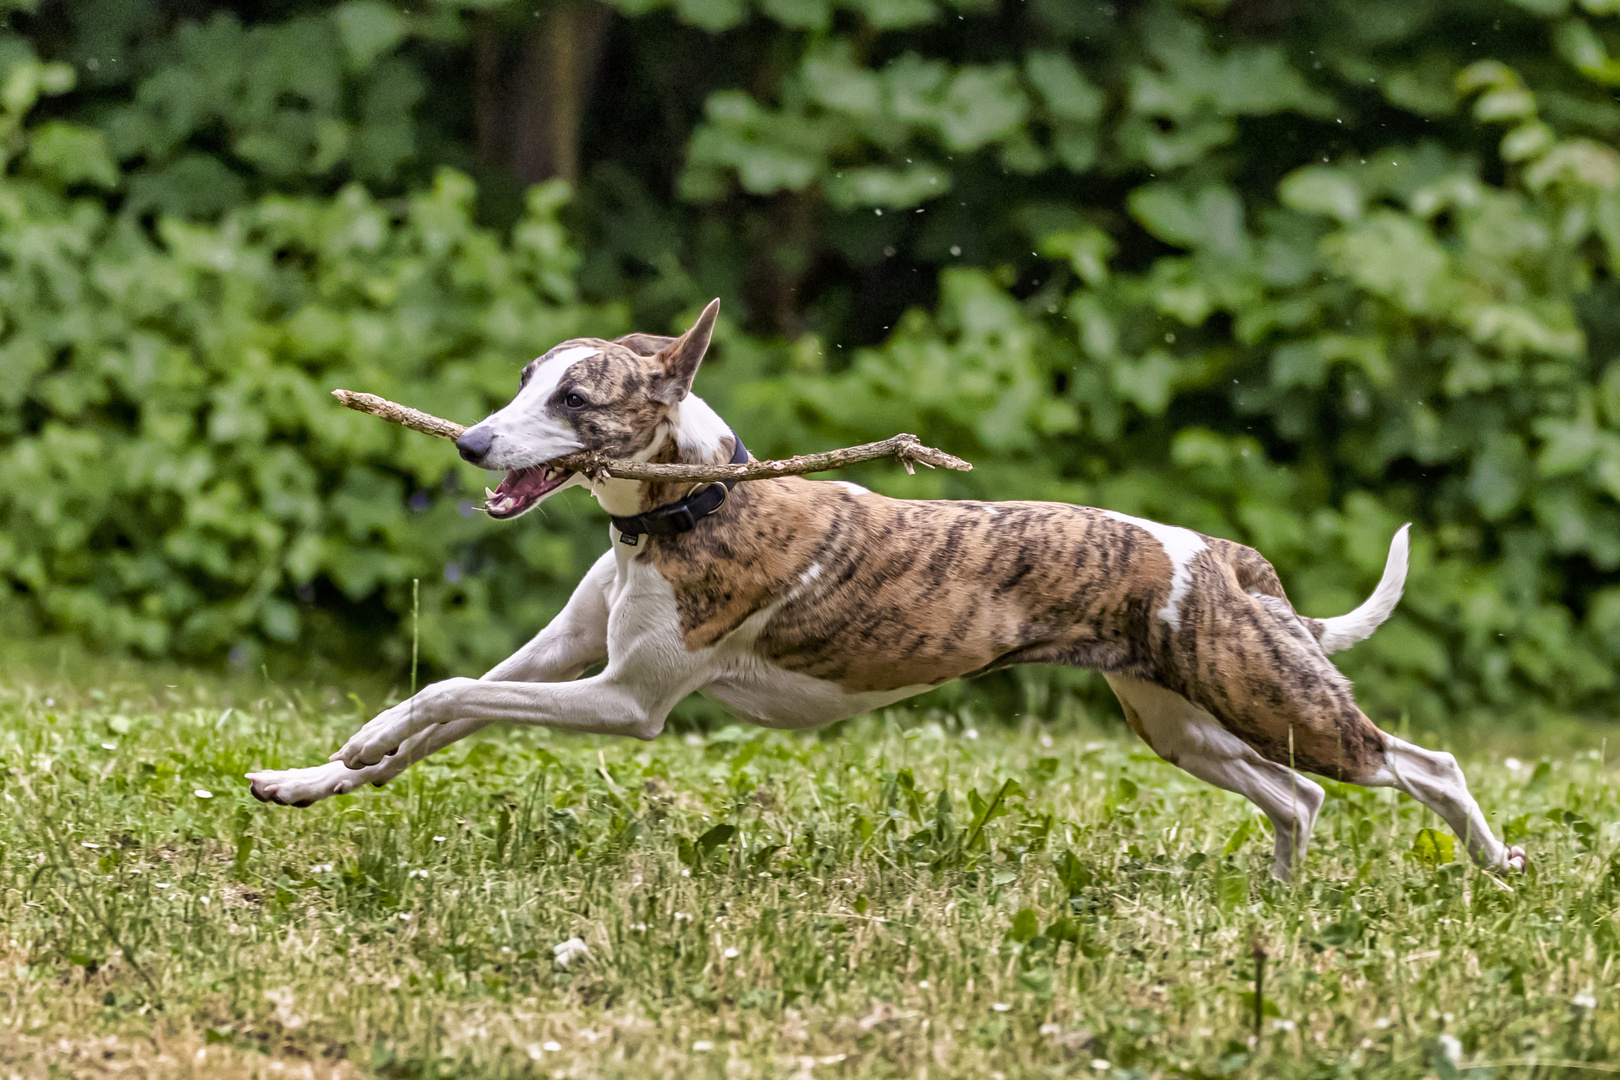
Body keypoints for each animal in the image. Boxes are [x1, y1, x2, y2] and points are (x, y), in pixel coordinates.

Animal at [246, 296, 1522, 880]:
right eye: (523, 379)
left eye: (575, 397)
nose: (469, 444)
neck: (687, 509)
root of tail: (1221, 556)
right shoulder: (563, 660)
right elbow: (442, 711)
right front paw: (317, 773)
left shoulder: (628, 701)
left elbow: (450, 692)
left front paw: (359, 742)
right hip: (1182, 722)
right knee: (1295, 799)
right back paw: (1278, 901)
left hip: (1275, 698)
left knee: (1422, 763)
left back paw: (1498, 864)